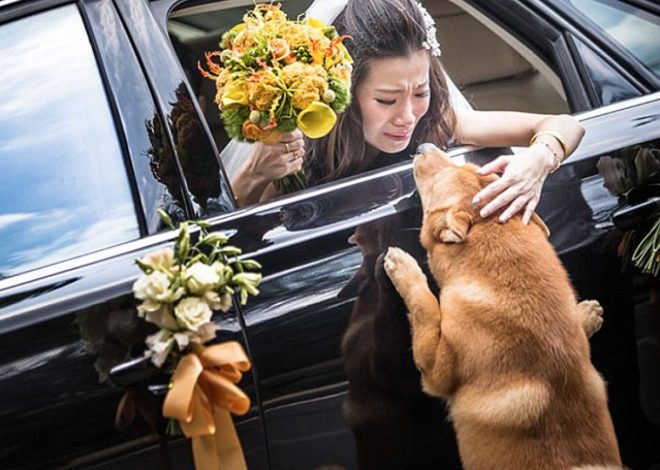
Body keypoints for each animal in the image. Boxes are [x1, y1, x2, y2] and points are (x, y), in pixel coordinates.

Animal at [384, 145, 620, 468]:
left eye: (434, 180)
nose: (422, 147)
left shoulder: (436, 369)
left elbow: (425, 303)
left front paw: (403, 268)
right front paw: (587, 315)